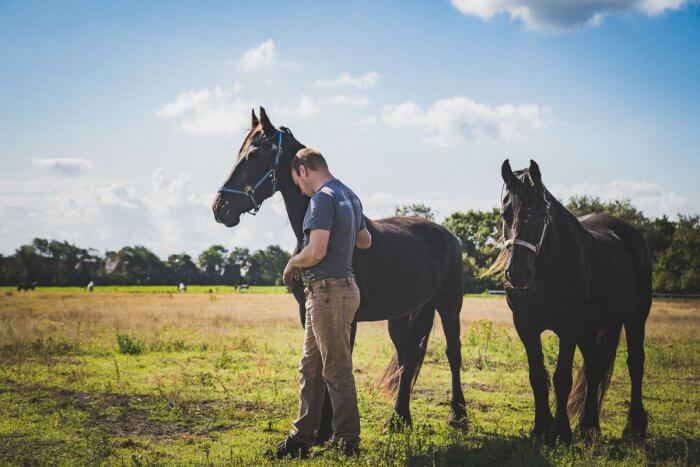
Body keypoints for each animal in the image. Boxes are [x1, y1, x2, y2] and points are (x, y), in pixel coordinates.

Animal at [211, 108, 468, 440]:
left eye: (254, 155)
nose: (220, 208)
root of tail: (448, 236)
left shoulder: (348, 317)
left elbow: (333, 363)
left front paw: (327, 430)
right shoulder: (307, 311)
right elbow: (319, 361)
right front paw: (321, 430)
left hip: (449, 305)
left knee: (452, 353)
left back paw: (458, 415)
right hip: (404, 314)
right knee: (408, 357)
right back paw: (399, 419)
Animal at [492, 160, 652, 442]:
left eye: (540, 214)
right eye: (505, 213)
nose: (518, 274)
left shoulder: (568, 328)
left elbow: (562, 378)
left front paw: (561, 432)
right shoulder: (526, 326)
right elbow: (537, 376)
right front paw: (541, 429)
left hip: (635, 318)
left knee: (635, 364)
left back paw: (635, 426)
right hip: (590, 328)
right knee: (595, 366)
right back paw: (589, 426)